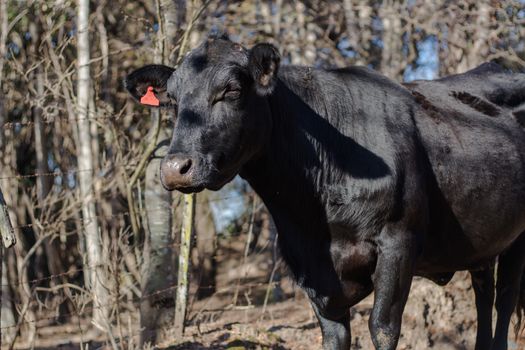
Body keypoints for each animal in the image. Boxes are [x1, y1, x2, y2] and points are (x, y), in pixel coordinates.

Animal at [126, 36, 524, 350]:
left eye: (232, 91)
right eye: (172, 100)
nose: (174, 167)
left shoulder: (398, 241)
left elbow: (382, 328)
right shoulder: (308, 265)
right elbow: (334, 335)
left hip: (516, 240)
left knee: (504, 302)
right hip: (483, 241)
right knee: (484, 293)